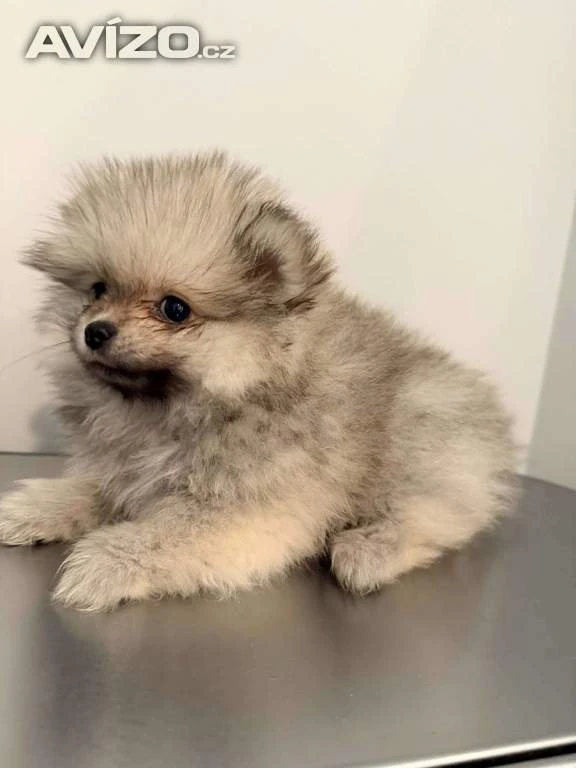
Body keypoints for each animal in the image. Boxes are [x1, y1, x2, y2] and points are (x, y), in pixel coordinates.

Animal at [0, 153, 517, 611]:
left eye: (174, 309)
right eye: (97, 289)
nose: (95, 330)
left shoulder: (252, 508)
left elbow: (167, 533)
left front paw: (106, 560)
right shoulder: (126, 474)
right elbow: (87, 490)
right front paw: (32, 508)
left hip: (418, 431)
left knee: (440, 516)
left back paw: (368, 549)